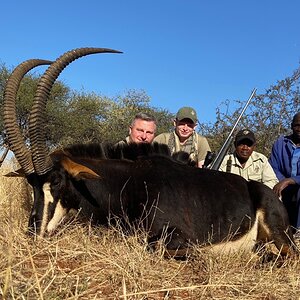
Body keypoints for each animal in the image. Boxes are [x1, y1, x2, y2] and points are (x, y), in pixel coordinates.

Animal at [3, 46, 298, 258]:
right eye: (32, 184)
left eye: (56, 182)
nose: (33, 232)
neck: (125, 184)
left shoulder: (175, 235)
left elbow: (159, 247)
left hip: (278, 232)